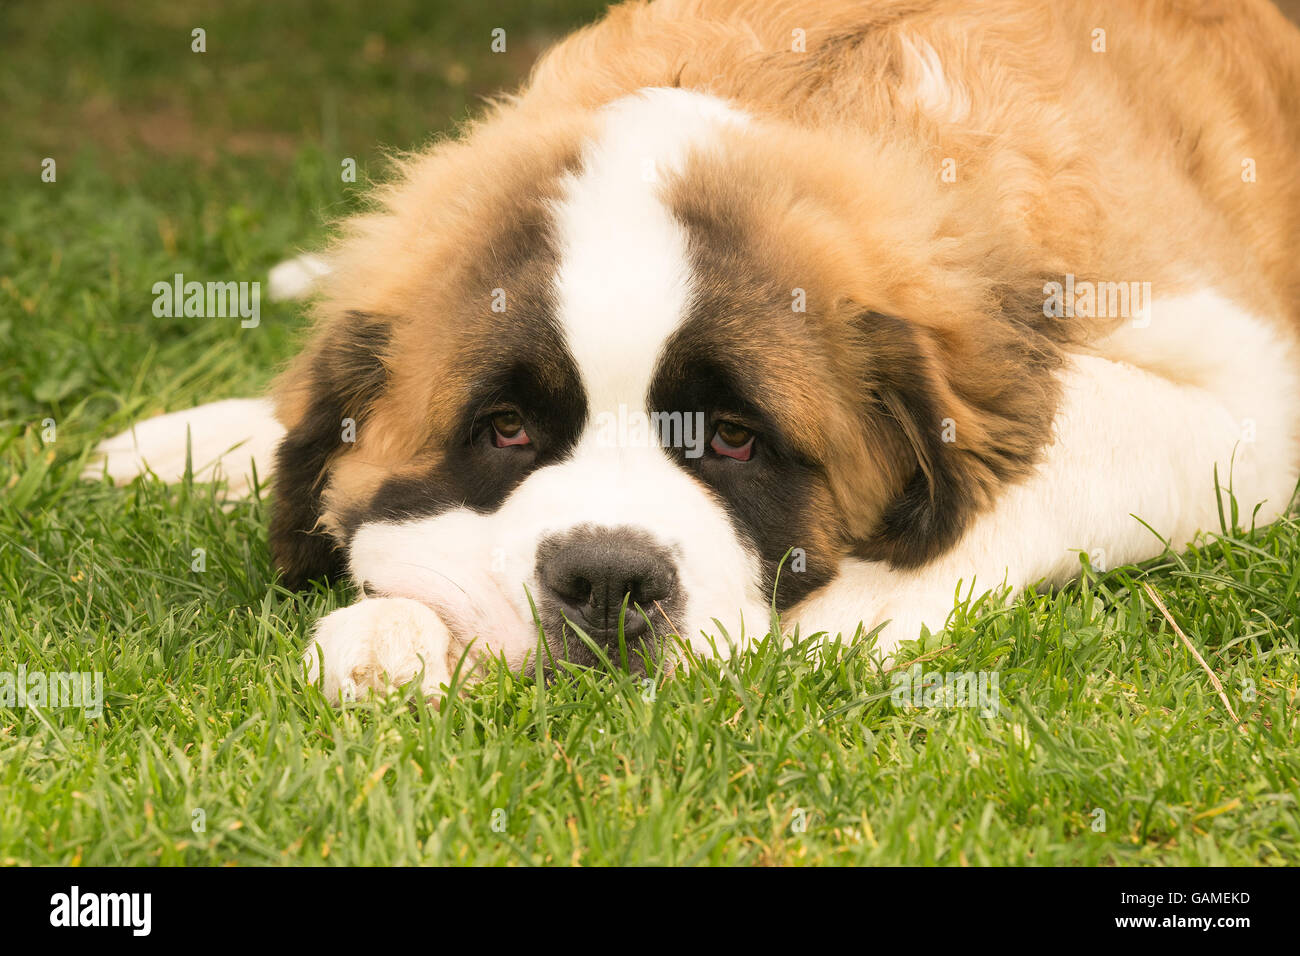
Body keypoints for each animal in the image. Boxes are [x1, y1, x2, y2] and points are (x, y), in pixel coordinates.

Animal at [86, 0, 1300, 702]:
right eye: (505, 430)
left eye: (734, 439)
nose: (608, 579)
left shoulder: (1245, 399)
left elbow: (1043, 455)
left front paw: (848, 613)